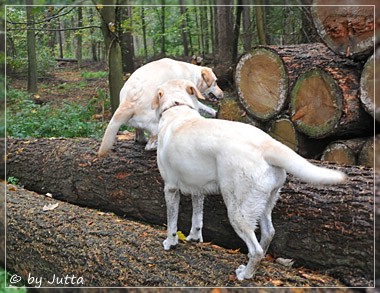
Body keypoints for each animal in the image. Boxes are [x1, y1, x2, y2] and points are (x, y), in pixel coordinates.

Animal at [153, 78, 346, 280]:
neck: (177, 107)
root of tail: (267, 144)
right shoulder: (198, 189)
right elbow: (197, 219)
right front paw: (194, 238)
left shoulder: (170, 188)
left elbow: (172, 222)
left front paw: (170, 243)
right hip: (264, 202)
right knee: (268, 233)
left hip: (238, 211)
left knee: (257, 250)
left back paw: (245, 274)